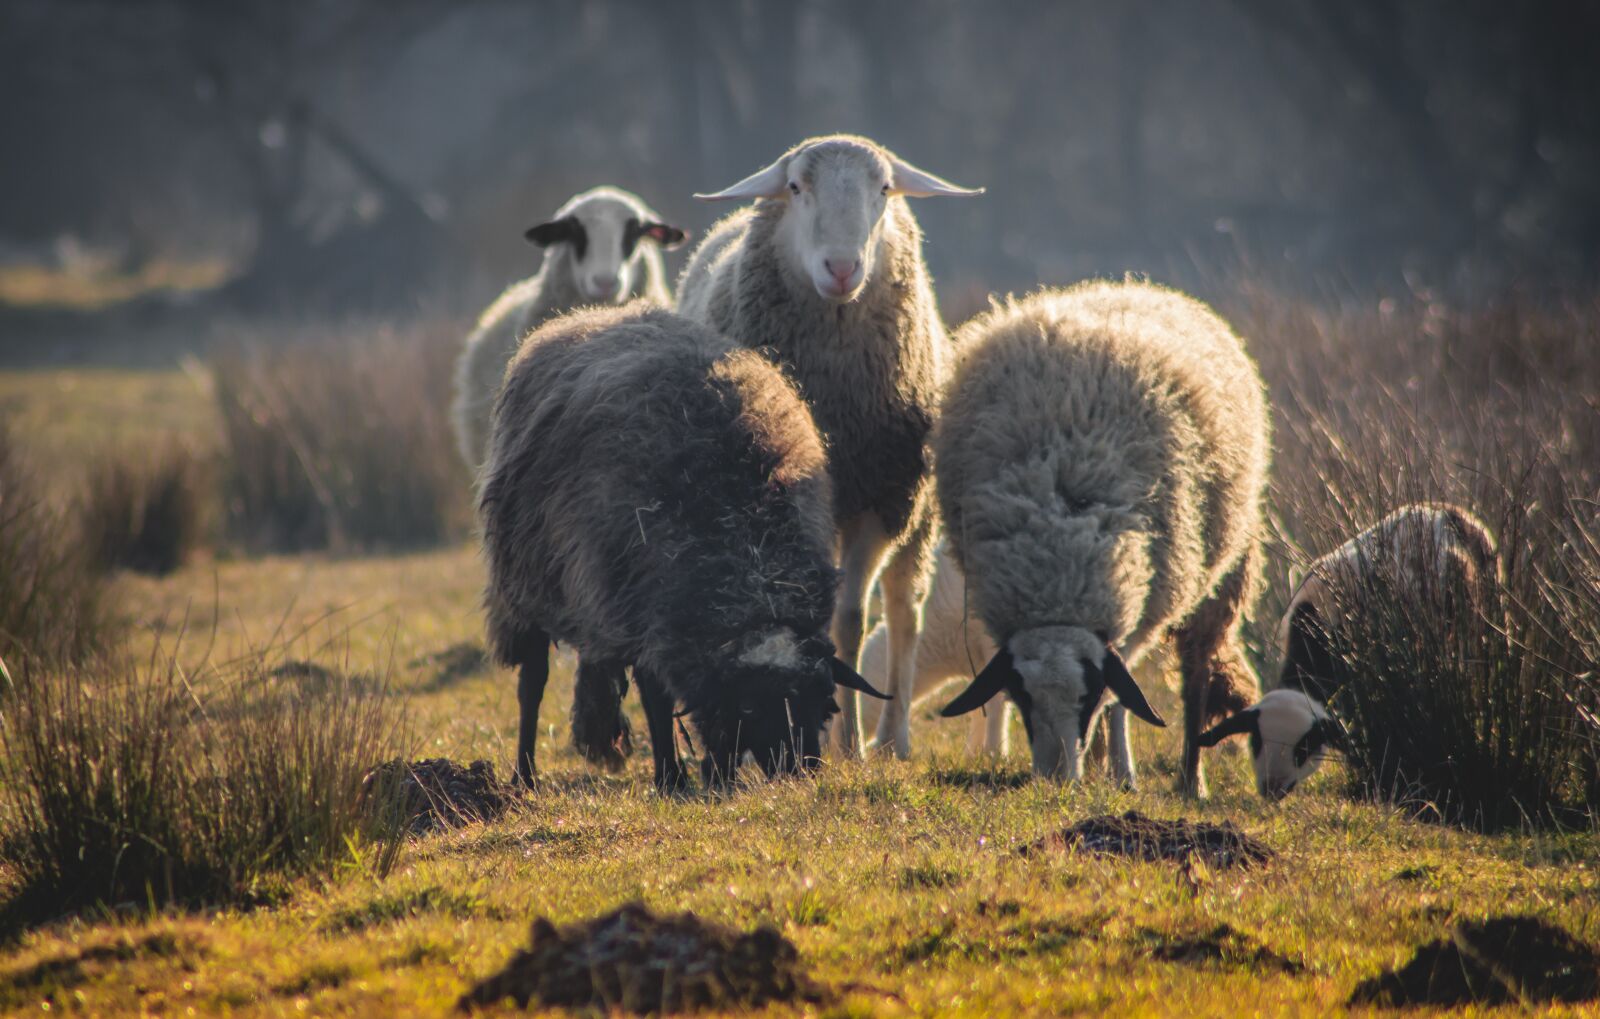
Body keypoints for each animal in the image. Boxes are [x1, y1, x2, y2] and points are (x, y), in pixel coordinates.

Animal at [476, 301, 886, 791]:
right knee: (532, 683)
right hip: (526, 585)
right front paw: (672, 778)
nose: (798, 773)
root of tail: (586, 317)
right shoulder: (646, 611)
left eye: (825, 702)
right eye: (751, 706)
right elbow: (656, 698)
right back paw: (524, 775)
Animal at [677, 134, 983, 759]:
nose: (842, 269)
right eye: (797, 187)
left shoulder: (881, 501)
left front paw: (851, 745)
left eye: (884, 189)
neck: (836, 411)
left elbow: (851, 619)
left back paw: (892, 739)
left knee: (904, 611)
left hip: (916, 513)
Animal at [935, 281, 1271, 797]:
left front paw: (1122, 772)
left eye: (1088, 691)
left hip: (1216, 581)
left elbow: (1119, 701)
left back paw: (1187, 781)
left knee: (1194, 679)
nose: (1055, 779)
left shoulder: (1141, 606)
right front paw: (1096, 767)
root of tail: (1133, 285)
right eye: (1020, 694)